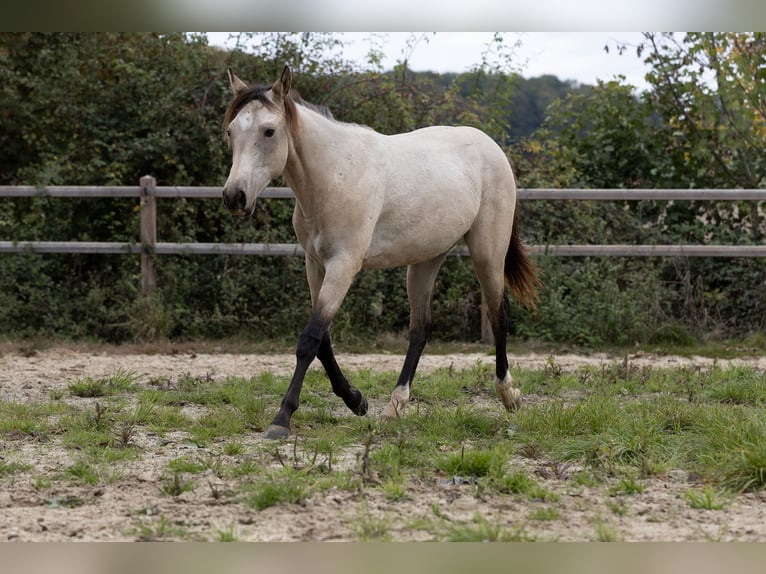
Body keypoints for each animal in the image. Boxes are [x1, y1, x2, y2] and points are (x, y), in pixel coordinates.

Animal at [222, 66, 540, 439]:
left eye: (269, 131)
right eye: (230, 131)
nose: (235, 197)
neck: (335, 175)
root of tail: (492, 148)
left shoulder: (343, 265)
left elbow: (309, 340)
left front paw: (282, 418)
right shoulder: (315, 266)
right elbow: (324, 341)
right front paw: (356, 400)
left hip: (488, 252)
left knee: (498, 313)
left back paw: (509, 395)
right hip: (425, 260)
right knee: (420, 329)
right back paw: (394, 406)